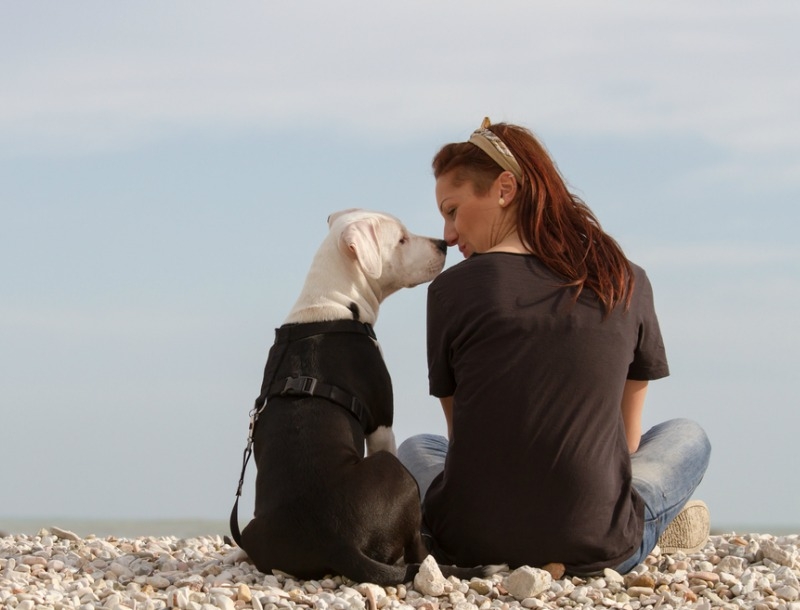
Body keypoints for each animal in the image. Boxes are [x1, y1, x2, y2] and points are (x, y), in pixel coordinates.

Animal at [228, 209, 496, 584]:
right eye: (401, 239)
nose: (443, 243)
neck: (333, 304)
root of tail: (334, 541)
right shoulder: (382, 426)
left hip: (256, 531)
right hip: (395, 471)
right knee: (417, 548)